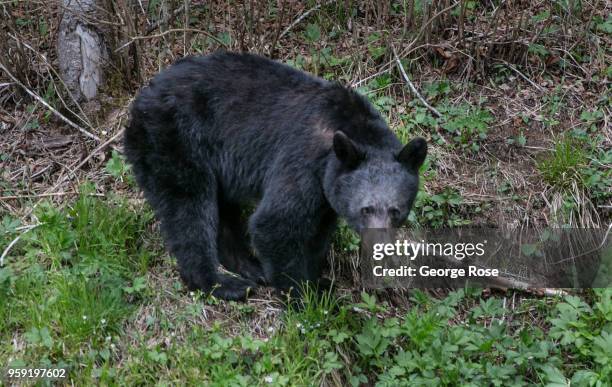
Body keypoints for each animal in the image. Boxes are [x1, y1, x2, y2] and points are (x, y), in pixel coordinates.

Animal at [125, 51, 426, 300]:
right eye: (366, 209)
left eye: (396, 210)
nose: (380, 246)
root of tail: (140, 99)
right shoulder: (303, 162)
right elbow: (275, 224)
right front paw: (304, 296)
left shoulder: (327, 192)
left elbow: (317, 234)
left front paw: (317, 280)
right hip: (174, 141)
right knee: (188, 208)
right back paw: (222, 283)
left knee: (222, 211)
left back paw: (249, 266)